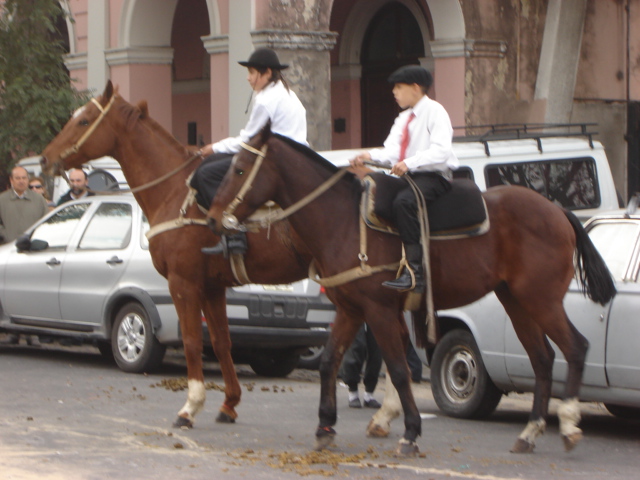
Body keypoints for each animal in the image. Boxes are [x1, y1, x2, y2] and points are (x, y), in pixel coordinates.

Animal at [40, 83, 324, 432]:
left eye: (83, 120)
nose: (45, 158)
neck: (173, 191)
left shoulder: (183, 283)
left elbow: (191, 341)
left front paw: (190, 407)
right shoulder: (213, 287)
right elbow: (221, 342)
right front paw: (229, 404)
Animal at [208, 126, 616, 454]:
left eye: (239, 168)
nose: (212, 218)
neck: (342, 220)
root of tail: (557, 211)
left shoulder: (379, 311)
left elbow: (400, 370)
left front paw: (410, 433)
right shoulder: (351, 309)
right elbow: (329, 363)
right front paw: (325, 427)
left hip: (541, 300)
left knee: (575, 348)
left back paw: (568, 425)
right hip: (516, 302)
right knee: (543, 359)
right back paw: (530, 433)